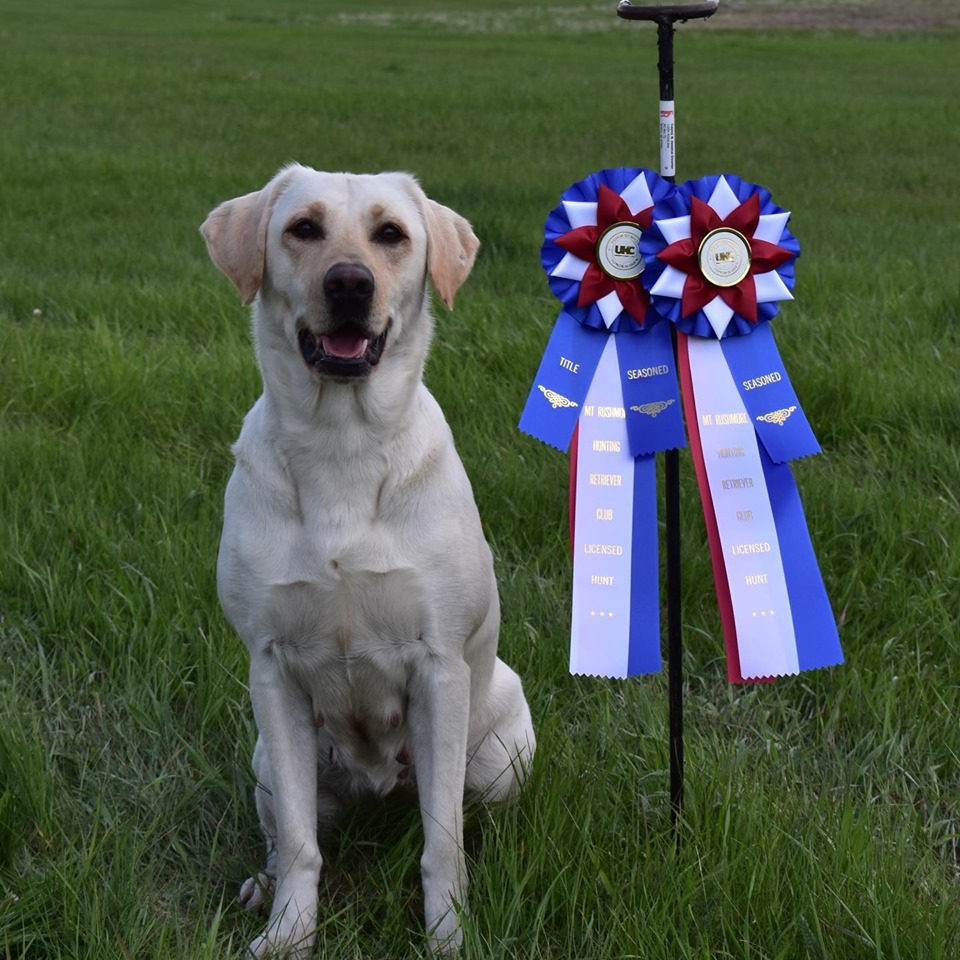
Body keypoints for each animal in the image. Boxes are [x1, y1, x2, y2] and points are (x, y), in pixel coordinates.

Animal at [200, 165, 536, 952]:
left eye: (391, 234)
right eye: (303, 228)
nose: (350, 284)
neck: (340, 446)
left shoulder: (438, 665)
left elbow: (442, 841)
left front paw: (449, 936)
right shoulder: (272, 670)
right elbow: (300, 842)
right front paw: (290, 934)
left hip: (499, 748)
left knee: (470, 815)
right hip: (267, 759)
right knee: (286, 828)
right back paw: (260, 888)